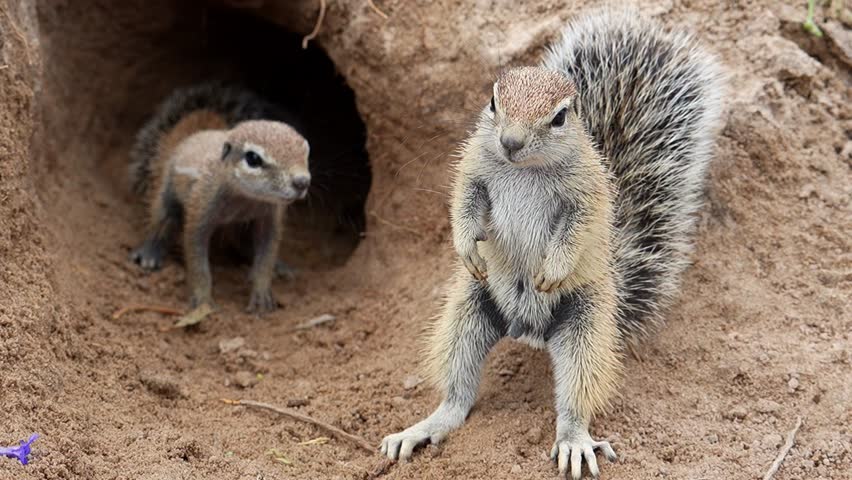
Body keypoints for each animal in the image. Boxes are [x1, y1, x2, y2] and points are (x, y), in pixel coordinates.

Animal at [128, 84, 310, 313]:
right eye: (253, 158)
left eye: (307, 152)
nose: (302, 182)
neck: (246, 198)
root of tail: (191, 134)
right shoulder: (201, 208)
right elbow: (197, 258)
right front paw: (203, 300)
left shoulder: (271, 217)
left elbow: (266, 256)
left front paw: (261, 292)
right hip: (167, 192)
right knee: (162, 219)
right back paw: (150, 254)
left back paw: (280, 267)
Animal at [381, 7, 724, 479]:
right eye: (493, 102)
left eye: (560, 116)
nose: (510, 142)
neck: (524, 169)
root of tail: (528, 331)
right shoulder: (473, 173)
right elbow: (464, 206)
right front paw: (467, 247)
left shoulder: (586, 196)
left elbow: (577, 230)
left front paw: (552, 269)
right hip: (469, 310)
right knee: (457, 394)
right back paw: (424, 427)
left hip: (584, 326)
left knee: (575, 398)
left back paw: (573, 440)